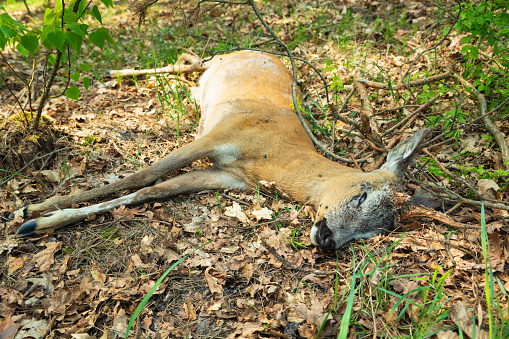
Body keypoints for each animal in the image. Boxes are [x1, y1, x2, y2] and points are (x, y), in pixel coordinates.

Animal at [14, 51, 428, 252]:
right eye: (360, 196)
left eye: (374, 233)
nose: (328, 241)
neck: (269, 157)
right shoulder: (219, 136)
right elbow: (142, 174)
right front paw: (32, 209)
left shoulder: (226, 176)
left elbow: (147, 192)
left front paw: (38, 221)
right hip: (217, 64)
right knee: (185, 61)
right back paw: (114, 73)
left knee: (185, 69)